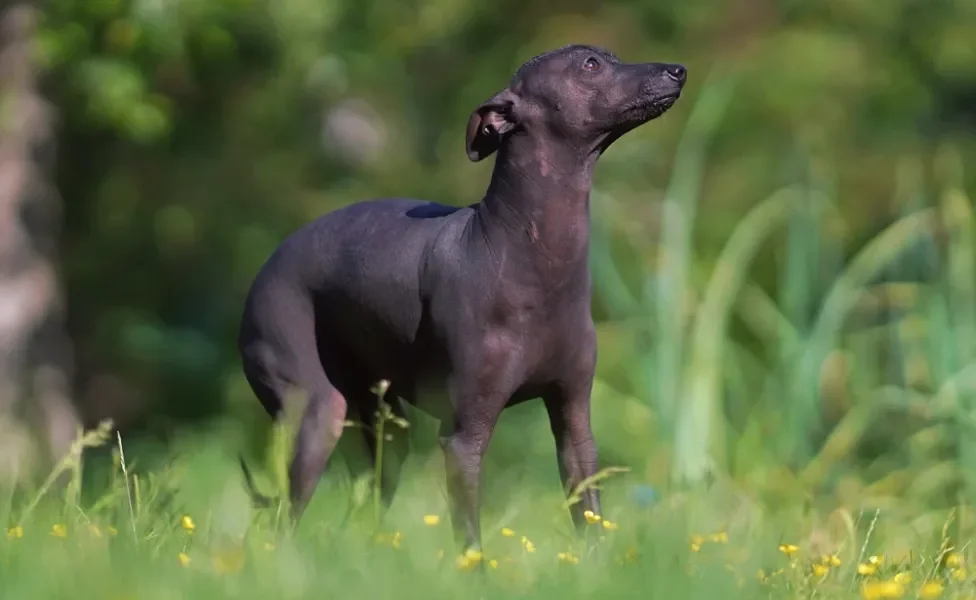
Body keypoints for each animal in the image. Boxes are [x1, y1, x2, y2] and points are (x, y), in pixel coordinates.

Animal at [236, 44, 688, 556]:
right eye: (589, 64)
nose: (677, 70)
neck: (522, 253)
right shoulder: (462, 437)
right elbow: (469, 534)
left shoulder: (574, 421)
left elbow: (588, 514)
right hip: (315, 412)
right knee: (281, 518)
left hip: (385, 432)